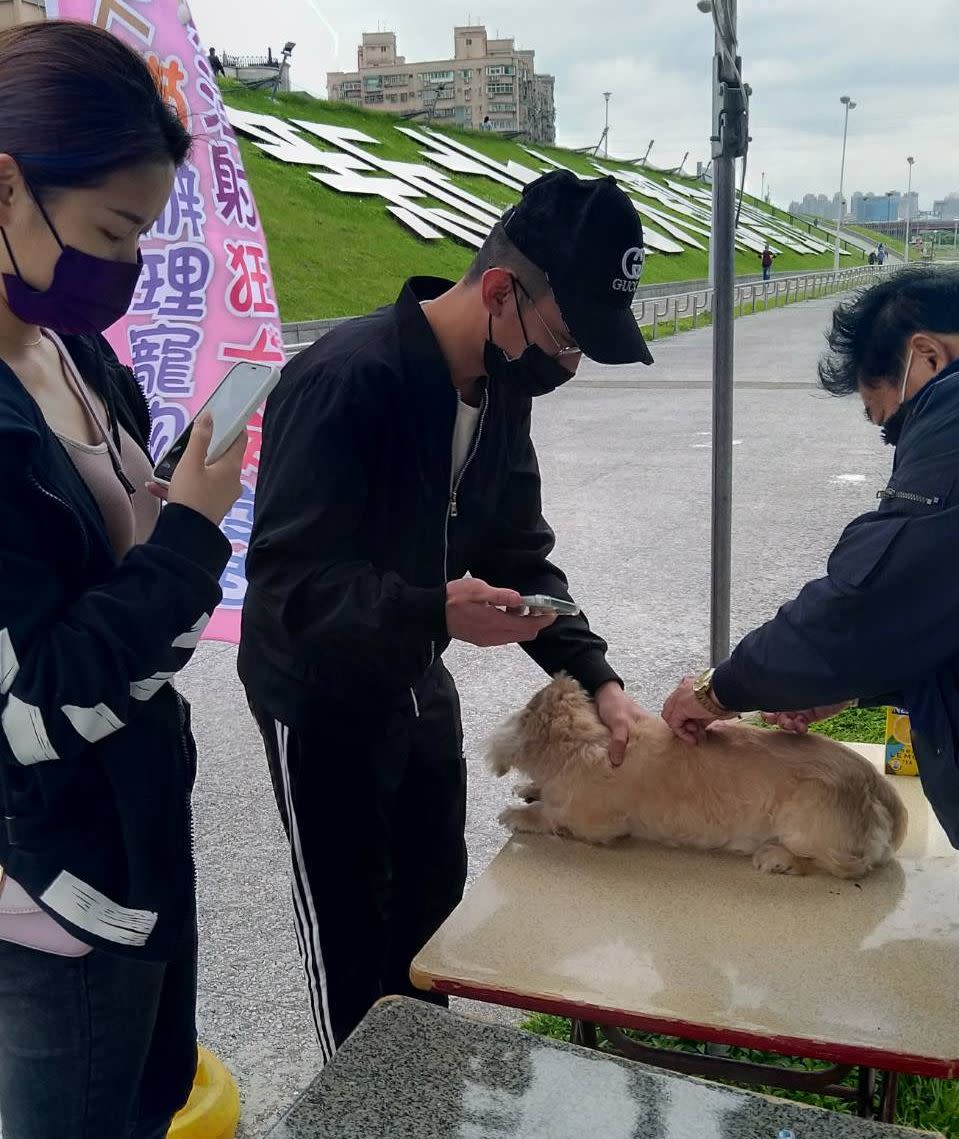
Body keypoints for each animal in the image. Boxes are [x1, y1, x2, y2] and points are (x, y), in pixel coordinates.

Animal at [489, 674, 902, 879]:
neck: (583, 741)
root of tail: (879, 792)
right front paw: (528, 787)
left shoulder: (591, 825)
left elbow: (548, 815)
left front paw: (517, 813)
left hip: (809, 833)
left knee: (836, 865)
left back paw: (776, 859)